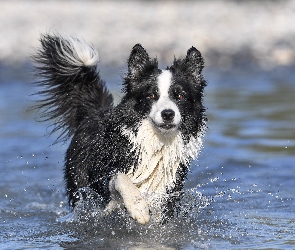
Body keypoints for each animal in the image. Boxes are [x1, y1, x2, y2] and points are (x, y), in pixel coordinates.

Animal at [32, 33, 207, 225]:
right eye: (151, 95)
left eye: (180, 96)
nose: (168, 114)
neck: (156, 141)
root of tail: (94, 112)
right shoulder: (105, 173)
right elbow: (121, 178)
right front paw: (139, 208)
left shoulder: (169, 188)